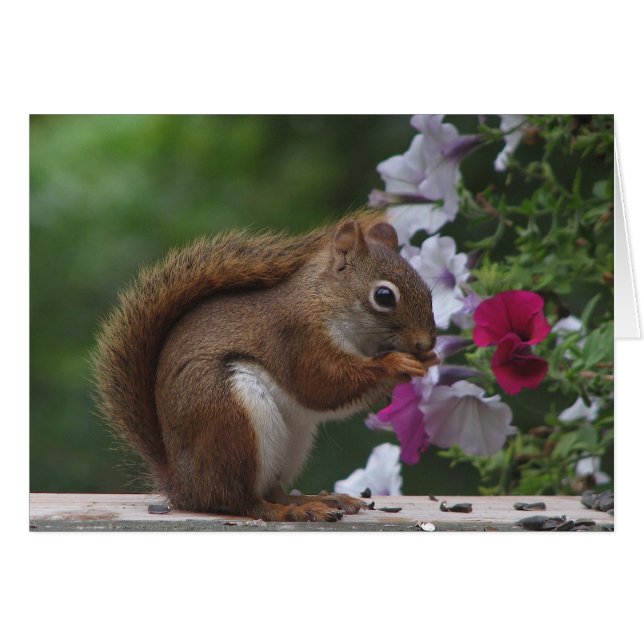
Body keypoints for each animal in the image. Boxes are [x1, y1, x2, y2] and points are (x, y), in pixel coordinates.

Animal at [92, 210, 438, 522]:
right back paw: (291, 511)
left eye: (428, 289)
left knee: (272, 490)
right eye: (384, 296)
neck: (324, 301)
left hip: (292, 441)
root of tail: (182, 485)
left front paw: (429, 360)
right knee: (240, 501)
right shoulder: (298, 339)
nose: (425, 343)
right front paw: (395, 363)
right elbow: (322, 385)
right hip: (229, 419)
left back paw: (317, 500)